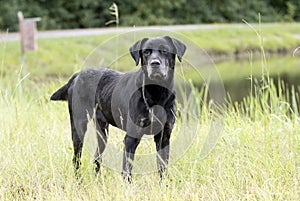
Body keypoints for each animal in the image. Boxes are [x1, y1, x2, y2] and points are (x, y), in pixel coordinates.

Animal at [50, 35, 186, 180]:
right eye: (146, 52)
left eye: (165, 51)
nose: (155, 63)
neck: (156, 93)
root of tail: (77, 75)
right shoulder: (131, 138)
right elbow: (127, 169)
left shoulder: (164, 137)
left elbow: (162, 167)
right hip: (79, 126)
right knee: (76, 158)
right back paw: (78, 181)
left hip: (102, 132)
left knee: (97, 157)